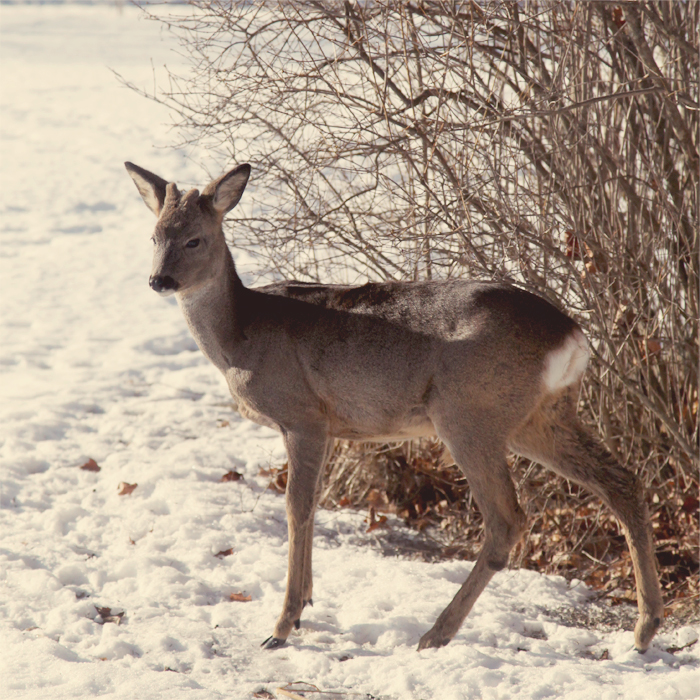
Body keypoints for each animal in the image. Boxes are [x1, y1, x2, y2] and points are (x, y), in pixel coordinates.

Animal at [127, 161, 668, 652]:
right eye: (154, 236)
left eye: (195, 239)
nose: (158, 280)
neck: (241, 335)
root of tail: (572, 337)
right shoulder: (328, 428)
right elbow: (313, 504)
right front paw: (304, 608)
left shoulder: (304, 417)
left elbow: (296, 507)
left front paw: (282, 626)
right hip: (541, 416)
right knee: (621, 480)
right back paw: (644, 631)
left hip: (468, 413)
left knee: (507, 519)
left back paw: (435, 633)